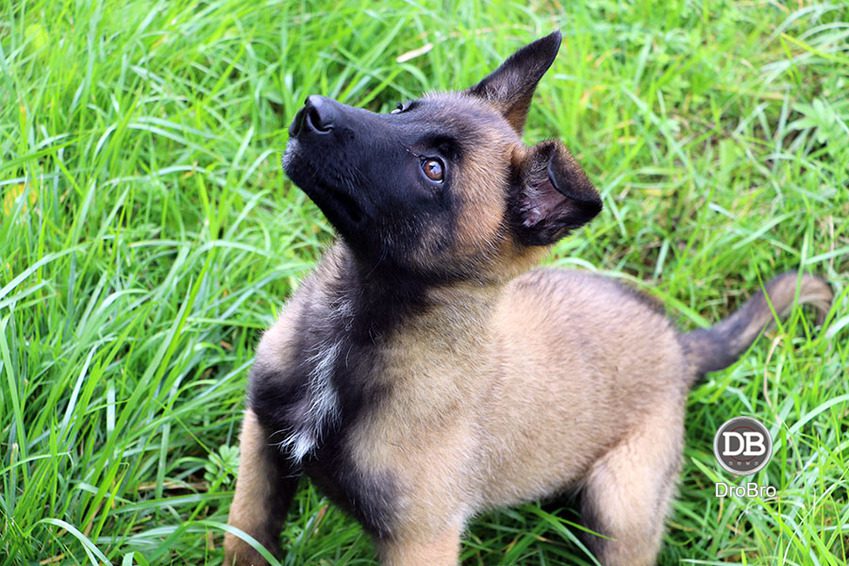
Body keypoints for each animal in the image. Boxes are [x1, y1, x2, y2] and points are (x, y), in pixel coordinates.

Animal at [224, 31, 833, 565]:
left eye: (433, 169)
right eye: (401, 108)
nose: (312, 111)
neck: (355, 325)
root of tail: (681, 347)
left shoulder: (420, 539)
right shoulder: (262, 443)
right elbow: (244, 534)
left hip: (620, 506)